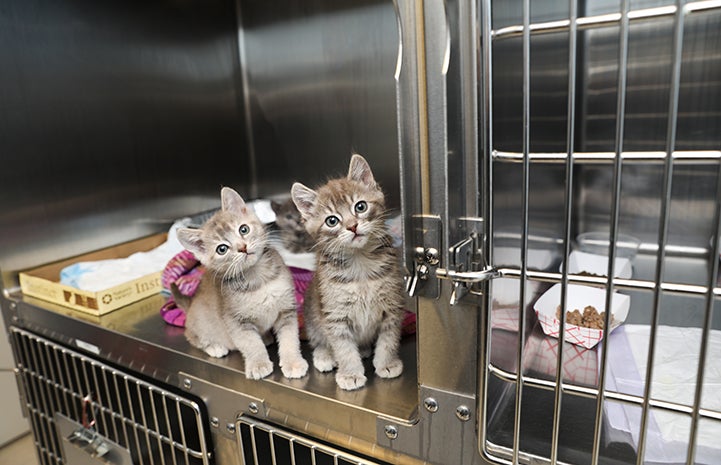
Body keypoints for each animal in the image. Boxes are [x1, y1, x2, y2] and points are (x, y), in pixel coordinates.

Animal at [176, 187, 310, 378]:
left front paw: (293, 362)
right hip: (200, 323)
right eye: (222, 249)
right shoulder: (236, 321)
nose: (243, 247)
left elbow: (290, 339)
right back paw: (214, 347)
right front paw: (259, 364)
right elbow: (251, 343)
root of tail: (191, 303)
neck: (258, 279)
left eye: (243, 229)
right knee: (192, 336)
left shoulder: (286, 309)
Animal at [292, 154, 404, 390]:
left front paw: (387, 363)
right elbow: (343, 348)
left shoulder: (392, 306)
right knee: (319, 339)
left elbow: (388, 340)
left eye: (360, 207)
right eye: (332, 221)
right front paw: (350, 373)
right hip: (312, 312)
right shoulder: (335, 316)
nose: (353, 226)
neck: (360, 265)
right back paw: (325, 355)